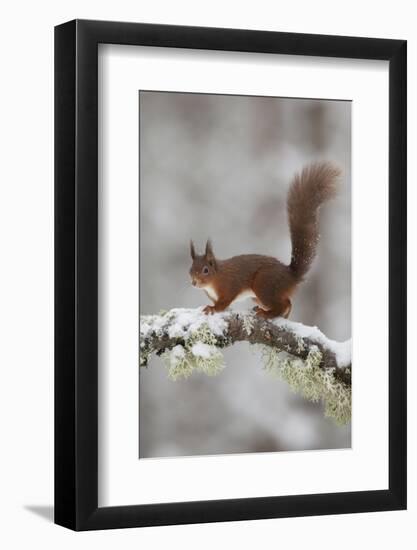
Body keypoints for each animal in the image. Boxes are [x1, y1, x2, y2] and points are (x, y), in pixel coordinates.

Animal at [188, 163, 338, 320]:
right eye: (190, 269)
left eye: (205, 270)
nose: (194, 282)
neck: (215, 277)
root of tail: (291, 276)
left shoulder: (229, 286)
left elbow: (223, 303)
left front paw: (212, 308)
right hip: (259, 295)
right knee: (288, 302)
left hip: (264, 284)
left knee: (282, 304)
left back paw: (267, 313)